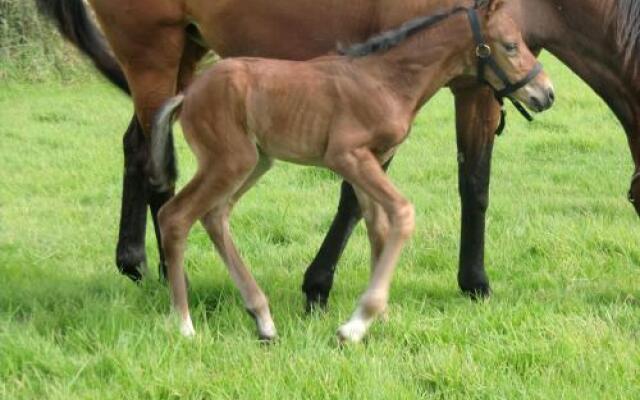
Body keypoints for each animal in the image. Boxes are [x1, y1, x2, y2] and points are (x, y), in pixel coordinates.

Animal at [36, 0, 640, 304]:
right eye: (509, 43)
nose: (548, 95)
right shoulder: (462, 83)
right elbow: (369, 196)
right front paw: (319, 285)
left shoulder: (475, 85)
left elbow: (472, 186)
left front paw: (472, 283)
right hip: (153, 53)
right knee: (159, 167)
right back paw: (169, 272)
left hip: (188, 52)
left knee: (142, 145)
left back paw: (135, 262)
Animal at [151, 0, 556, 344]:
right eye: (510, 46)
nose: (547, 93)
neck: (387, 78)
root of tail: (186, 96)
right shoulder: (347, 157)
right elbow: (402, 214)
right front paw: (356, 325)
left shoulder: (374, 159)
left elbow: (378, 226)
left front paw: (380, 319)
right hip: (230, 161)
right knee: (176, 216)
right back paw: (184, 324)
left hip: (255, 161)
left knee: (214, 215)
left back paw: (263, 319)